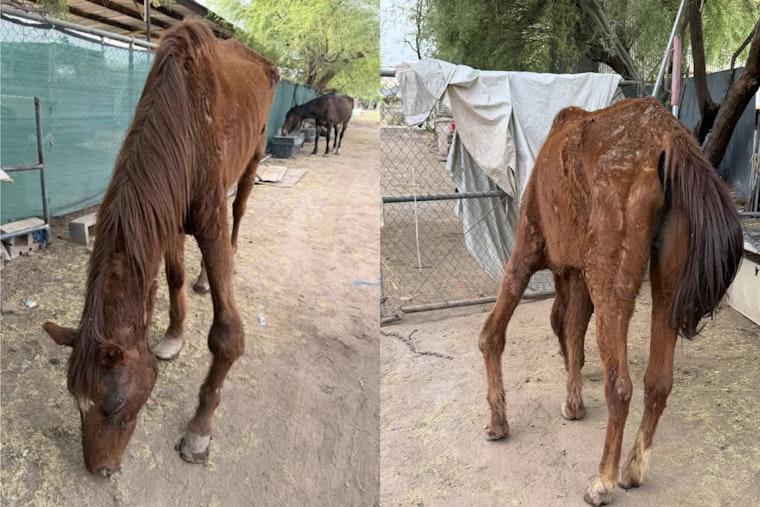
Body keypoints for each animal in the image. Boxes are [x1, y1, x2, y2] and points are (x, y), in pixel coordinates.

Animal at [42, 19, 278, 476]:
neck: (183, 123)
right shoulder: (165, 213)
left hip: (252, 160)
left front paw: (199, 431)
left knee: (239, 208)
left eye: (114, 408)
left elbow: (227, 337)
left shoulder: (207, 218)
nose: (100, 469)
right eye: (76, 404)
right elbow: (174, 276)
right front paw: (172, 336)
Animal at [478, 97, 743, 506]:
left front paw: (498, 422)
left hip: (610, 286)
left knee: (620, 387)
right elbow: (572, 332)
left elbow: (493, 334)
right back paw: (632, 469)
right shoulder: (577, 275)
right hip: (664, 288)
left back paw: (603, 480)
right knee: (658, 382)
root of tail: (666, 136)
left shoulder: (526, 251)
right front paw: (573, 403)